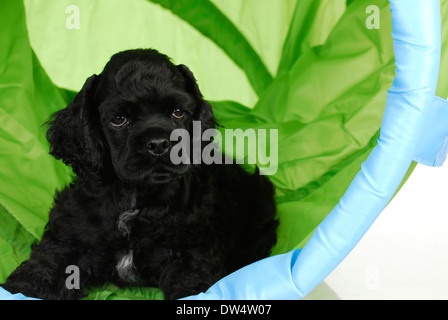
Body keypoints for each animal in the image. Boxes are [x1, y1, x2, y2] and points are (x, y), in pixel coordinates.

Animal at [1, 48, 278, 300]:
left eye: (178, 112)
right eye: (119, 119)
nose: (158, 144)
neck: (134, 199)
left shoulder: (191, 254)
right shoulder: (69, 240)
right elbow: (44, 269)